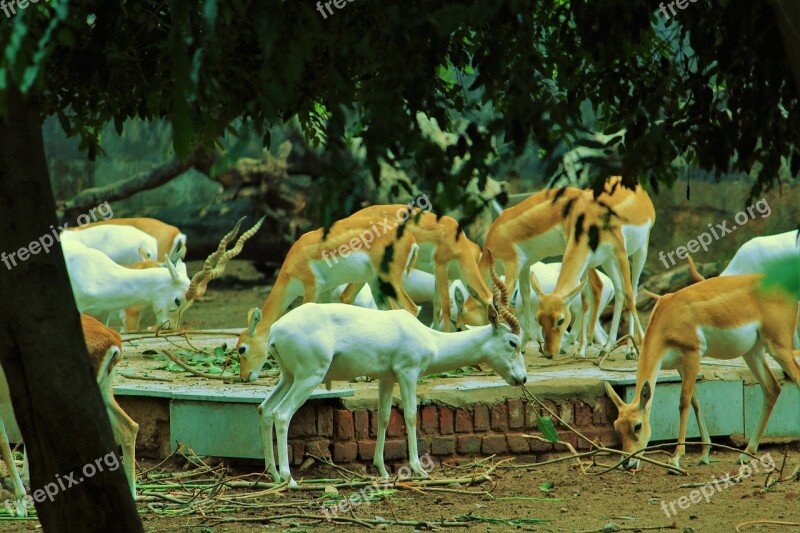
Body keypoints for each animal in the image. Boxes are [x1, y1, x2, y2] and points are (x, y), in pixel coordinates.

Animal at [236, 214, 418, 380]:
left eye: (242, 348)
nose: (244, 378)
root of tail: (411, 240)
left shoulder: (312, 288)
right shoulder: (325, 290)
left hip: (389, 280)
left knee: (412, 308)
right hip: (376, 284)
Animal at [238, 251, 524, 484]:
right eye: (513, 342)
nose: (522, 378)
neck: (430, 339)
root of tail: (276, 331)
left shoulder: (386, 379)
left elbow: (384, 417)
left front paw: (383, 470)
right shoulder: (408, 373)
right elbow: (410, 415)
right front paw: (418, 469)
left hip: (288, 377)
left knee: (265, 410)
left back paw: (273, 474)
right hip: (309, 377)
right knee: (282, 414)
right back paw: (289, 479)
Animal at [532, 178, 656, 358]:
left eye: (560, 320)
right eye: (539, 317)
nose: (548, 353)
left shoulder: (620, 252)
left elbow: (630, 297)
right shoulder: (588, 262)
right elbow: (585, 302)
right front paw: (581, 350)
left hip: (641, 249)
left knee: (632, 291)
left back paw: (630, 350)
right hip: (607, 261)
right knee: (619, 291)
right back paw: (607, 346)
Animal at [608, 274, 800, 470]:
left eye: (637, 425)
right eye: (617, 426)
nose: (627, 463)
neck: (668, 314)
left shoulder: (693, 355)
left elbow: (684, 402)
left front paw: (676, 458)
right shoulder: (679, 364)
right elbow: (696, 401)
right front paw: (704, 454)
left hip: (778, 348)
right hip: (753, 352)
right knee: (772, 389)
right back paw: (745, 455)